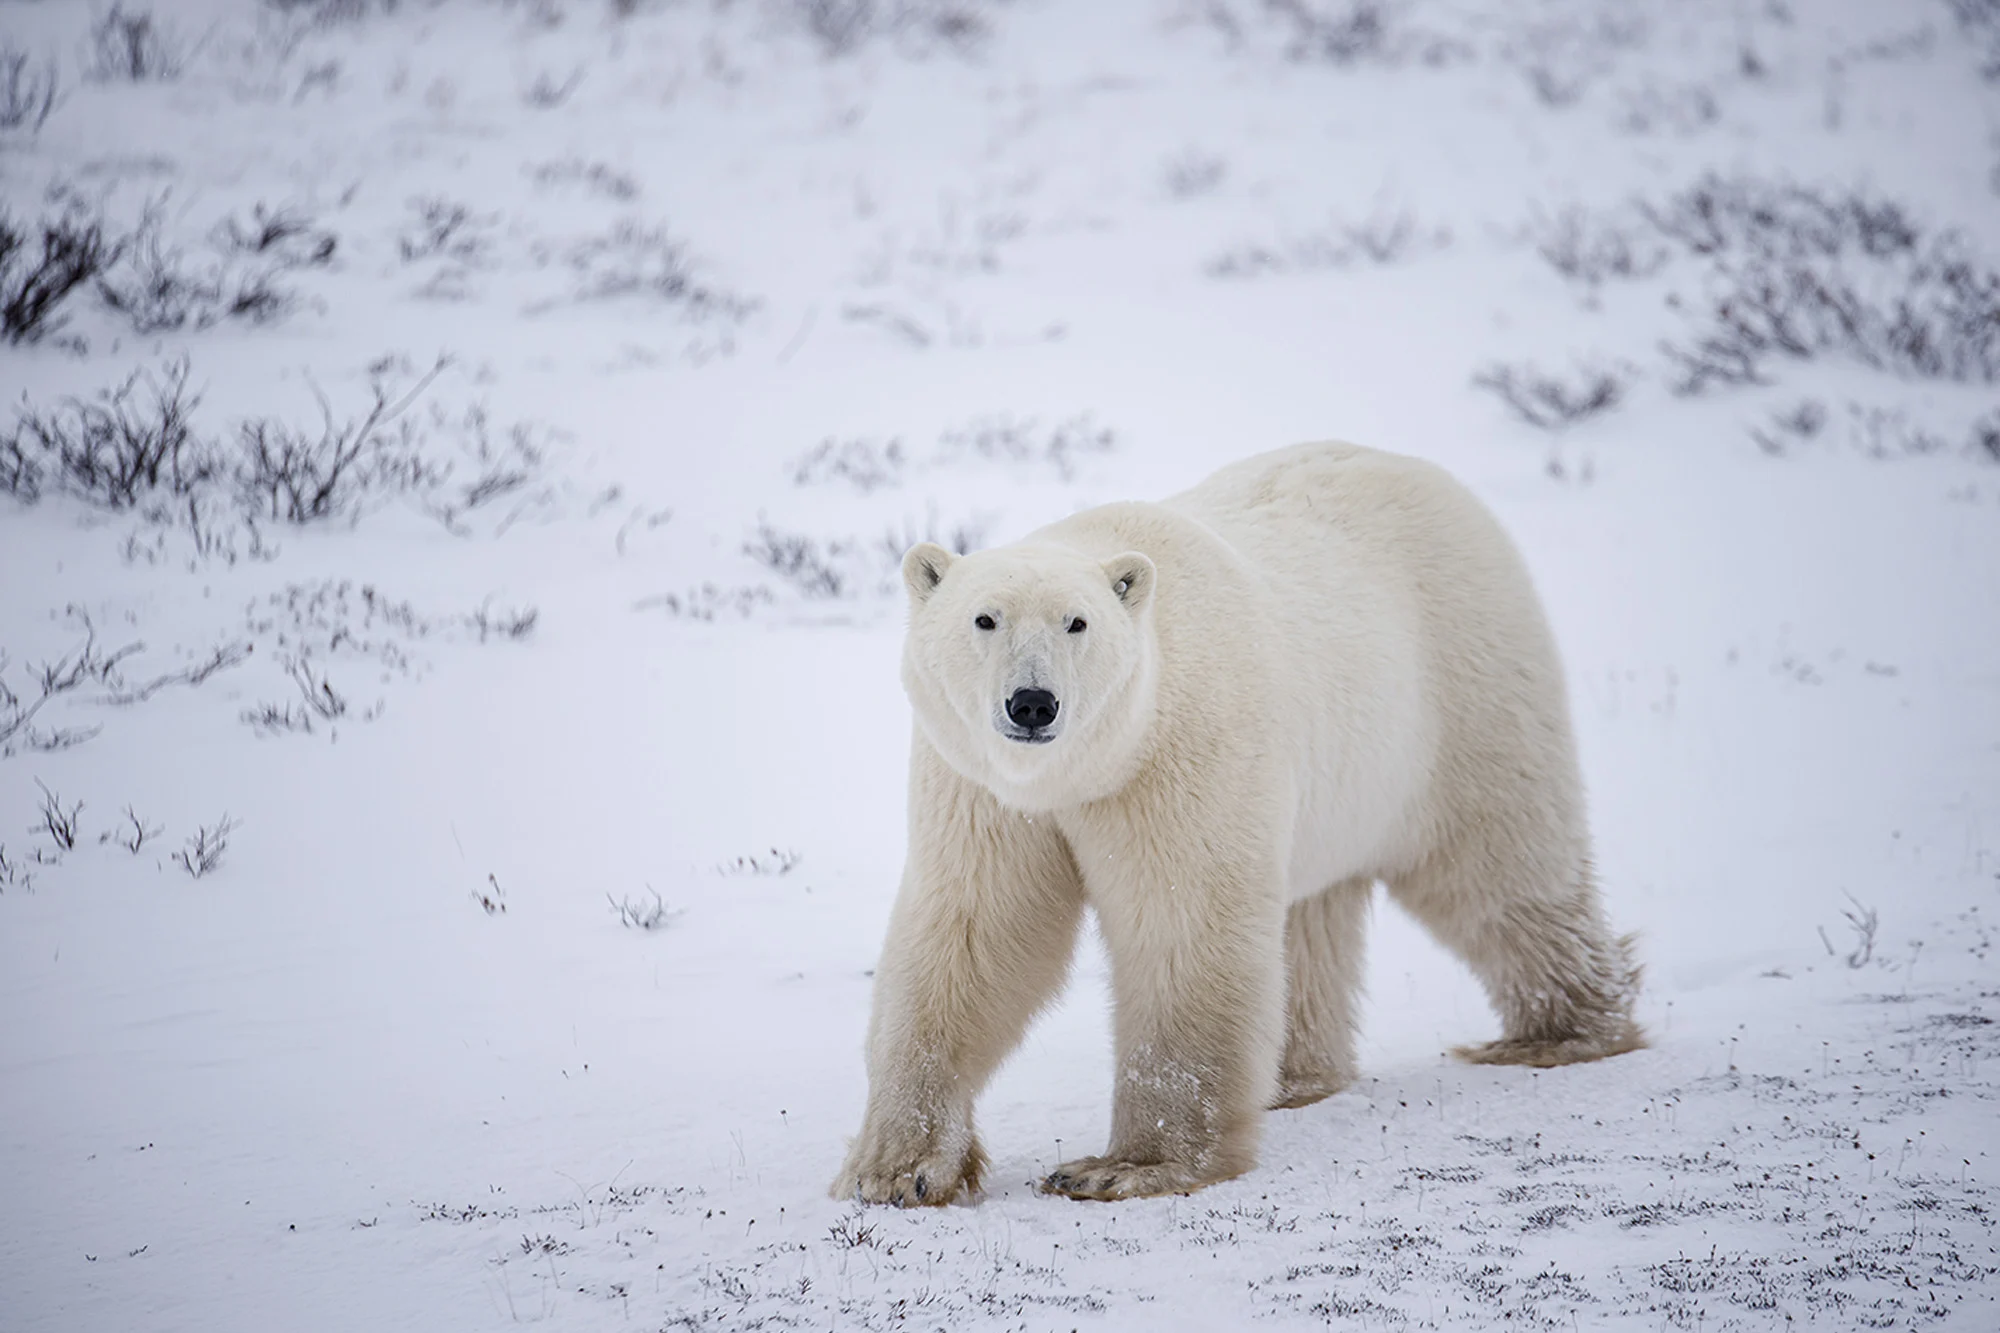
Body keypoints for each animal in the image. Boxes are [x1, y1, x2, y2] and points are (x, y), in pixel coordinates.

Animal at [828, 438, 1640, 1200]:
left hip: (1461, 690)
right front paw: (896, 1169)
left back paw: (1560, 1033)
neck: (1089, 768)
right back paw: (1294, 1077)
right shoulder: (982, 787)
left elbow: (1182, 929)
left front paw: (1124, 1167)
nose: (1032, 703)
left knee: (1500, 863)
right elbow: (973, 931)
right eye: (984, 618)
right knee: (1311, 916)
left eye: (1077, 622)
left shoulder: (1182, 752)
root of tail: (1427, 476)